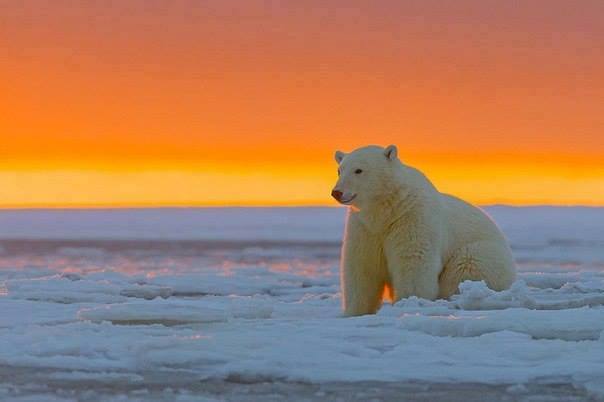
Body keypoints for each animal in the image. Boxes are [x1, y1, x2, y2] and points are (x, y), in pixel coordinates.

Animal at [332, 146, 516, 316]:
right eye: (340, 170)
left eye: (359, 170)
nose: (337, 192)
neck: (386, 210)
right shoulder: (364, 227)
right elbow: (361, 266)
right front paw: (354, 312)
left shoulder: (411, 218)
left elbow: (413, 262)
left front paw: (409, 302)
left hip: (482, 254)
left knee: (465, 268)